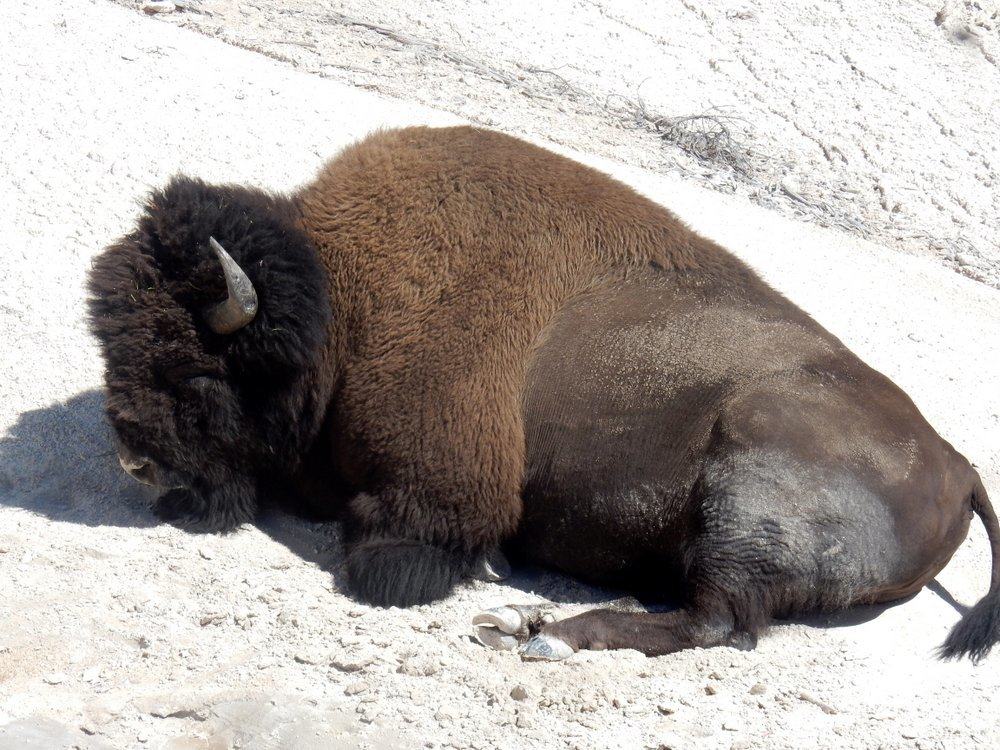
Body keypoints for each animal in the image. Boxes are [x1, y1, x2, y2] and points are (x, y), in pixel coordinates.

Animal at [88, 126, 1000, 660]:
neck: (343, 297)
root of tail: (958, 466)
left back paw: (542, 634)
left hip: (749, 487)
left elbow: (398, 548)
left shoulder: (445, 481)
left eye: (196, 372)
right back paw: (531, 622)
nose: (135, 465)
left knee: (721, 621)